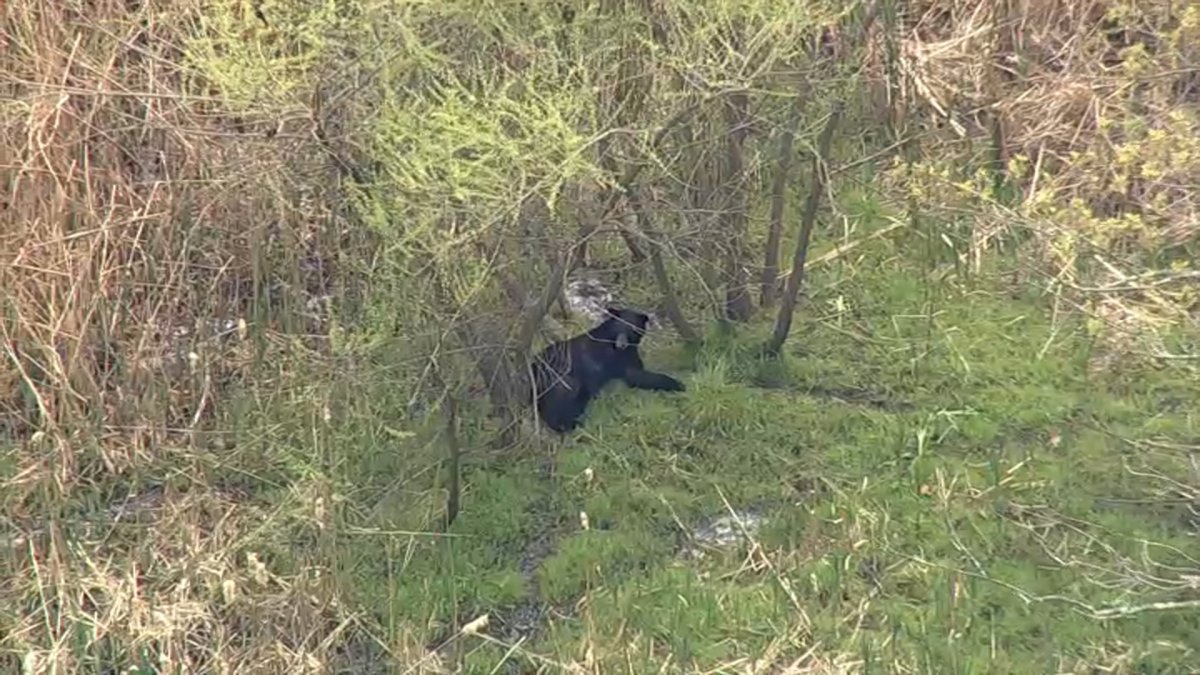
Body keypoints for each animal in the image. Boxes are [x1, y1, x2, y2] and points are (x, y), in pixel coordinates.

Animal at [529, 306, 686, 432]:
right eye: (619, 327)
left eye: (632, 329)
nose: (621, 344)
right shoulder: (598, 356)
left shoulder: (628, 356)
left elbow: (636, 374)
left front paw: (676, 384)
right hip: (554, 376)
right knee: (564, 394)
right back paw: (566, 423)